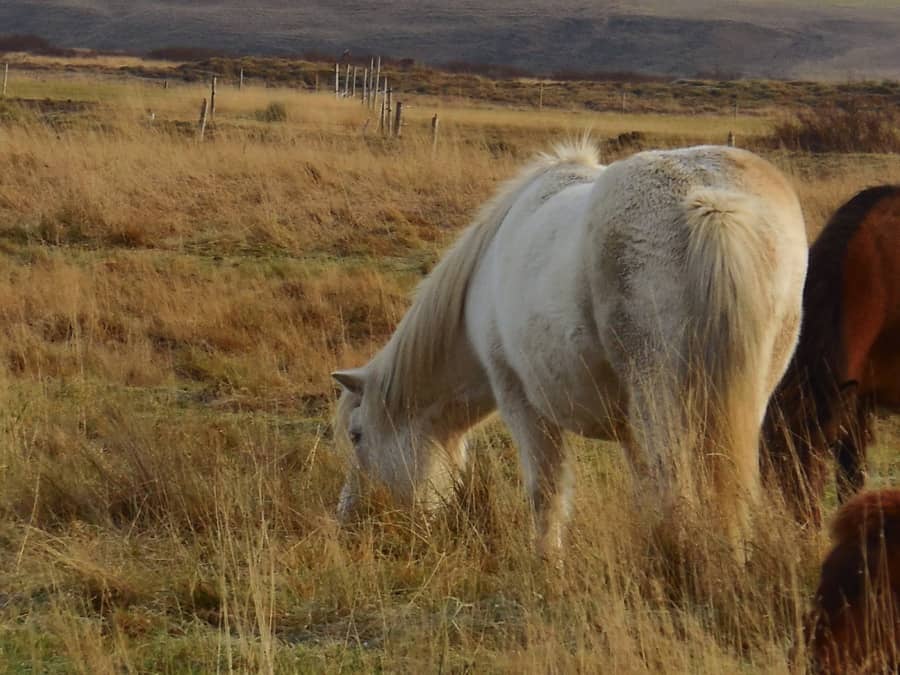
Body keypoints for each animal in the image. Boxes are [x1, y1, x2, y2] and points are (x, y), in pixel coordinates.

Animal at [332, 144, 808, 560]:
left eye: (357, 435)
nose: (350, 521)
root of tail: (710, 201)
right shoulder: (628, 428)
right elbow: (642, 490)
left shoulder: (521, 401)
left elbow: (546, 492)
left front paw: (548, 564)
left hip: (661, 400)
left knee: (677, 489)